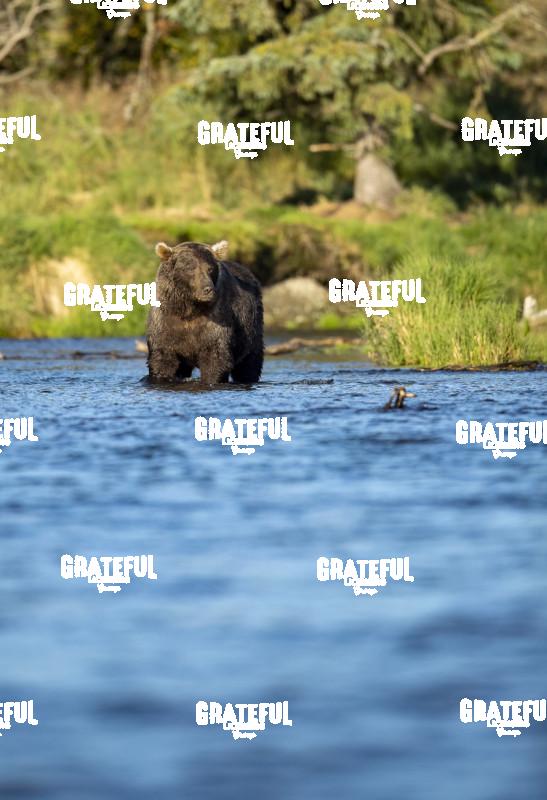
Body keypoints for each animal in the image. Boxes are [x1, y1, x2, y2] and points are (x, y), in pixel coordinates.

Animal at [147, 239, 263, 385]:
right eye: (190, 268)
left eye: (210, 269)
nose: (208, 289)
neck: (189, 308)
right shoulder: (166, 320)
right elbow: (162, 358)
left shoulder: (215, 319)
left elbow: (215, 357)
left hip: (251, 329)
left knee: (249, 363)